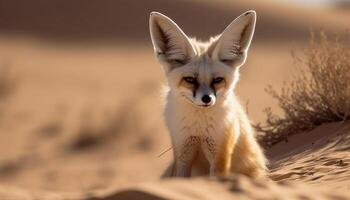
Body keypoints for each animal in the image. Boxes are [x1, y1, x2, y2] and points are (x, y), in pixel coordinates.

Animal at [149, 10, 266, 177]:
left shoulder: (220, 150)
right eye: (190, 79)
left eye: (217, 80)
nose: (206, 99)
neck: (199, 128)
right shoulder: (182, 148)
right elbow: (179, 178)